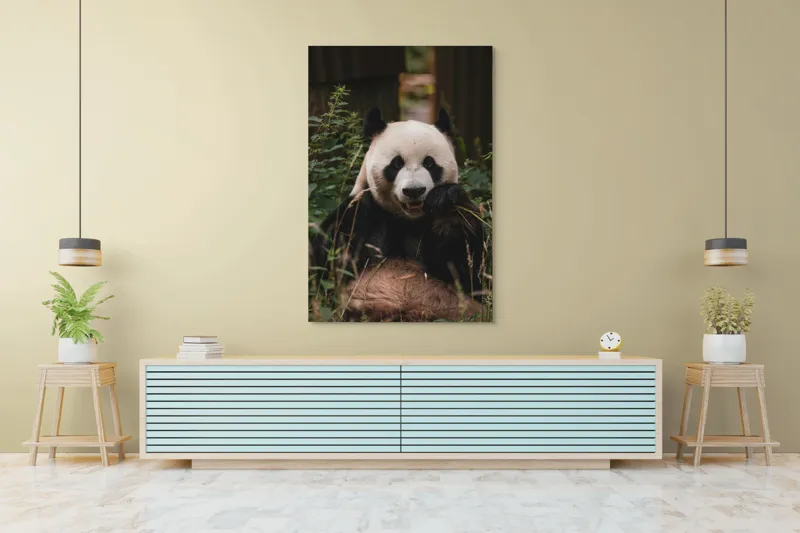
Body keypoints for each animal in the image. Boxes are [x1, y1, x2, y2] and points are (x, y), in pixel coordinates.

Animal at [310, 107, 485, 321]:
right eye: (396, 164)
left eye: (429, 163)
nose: (414, 190)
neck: (406, 220)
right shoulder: (362, 213)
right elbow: (324, 265)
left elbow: (469, 271)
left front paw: (446, 203)